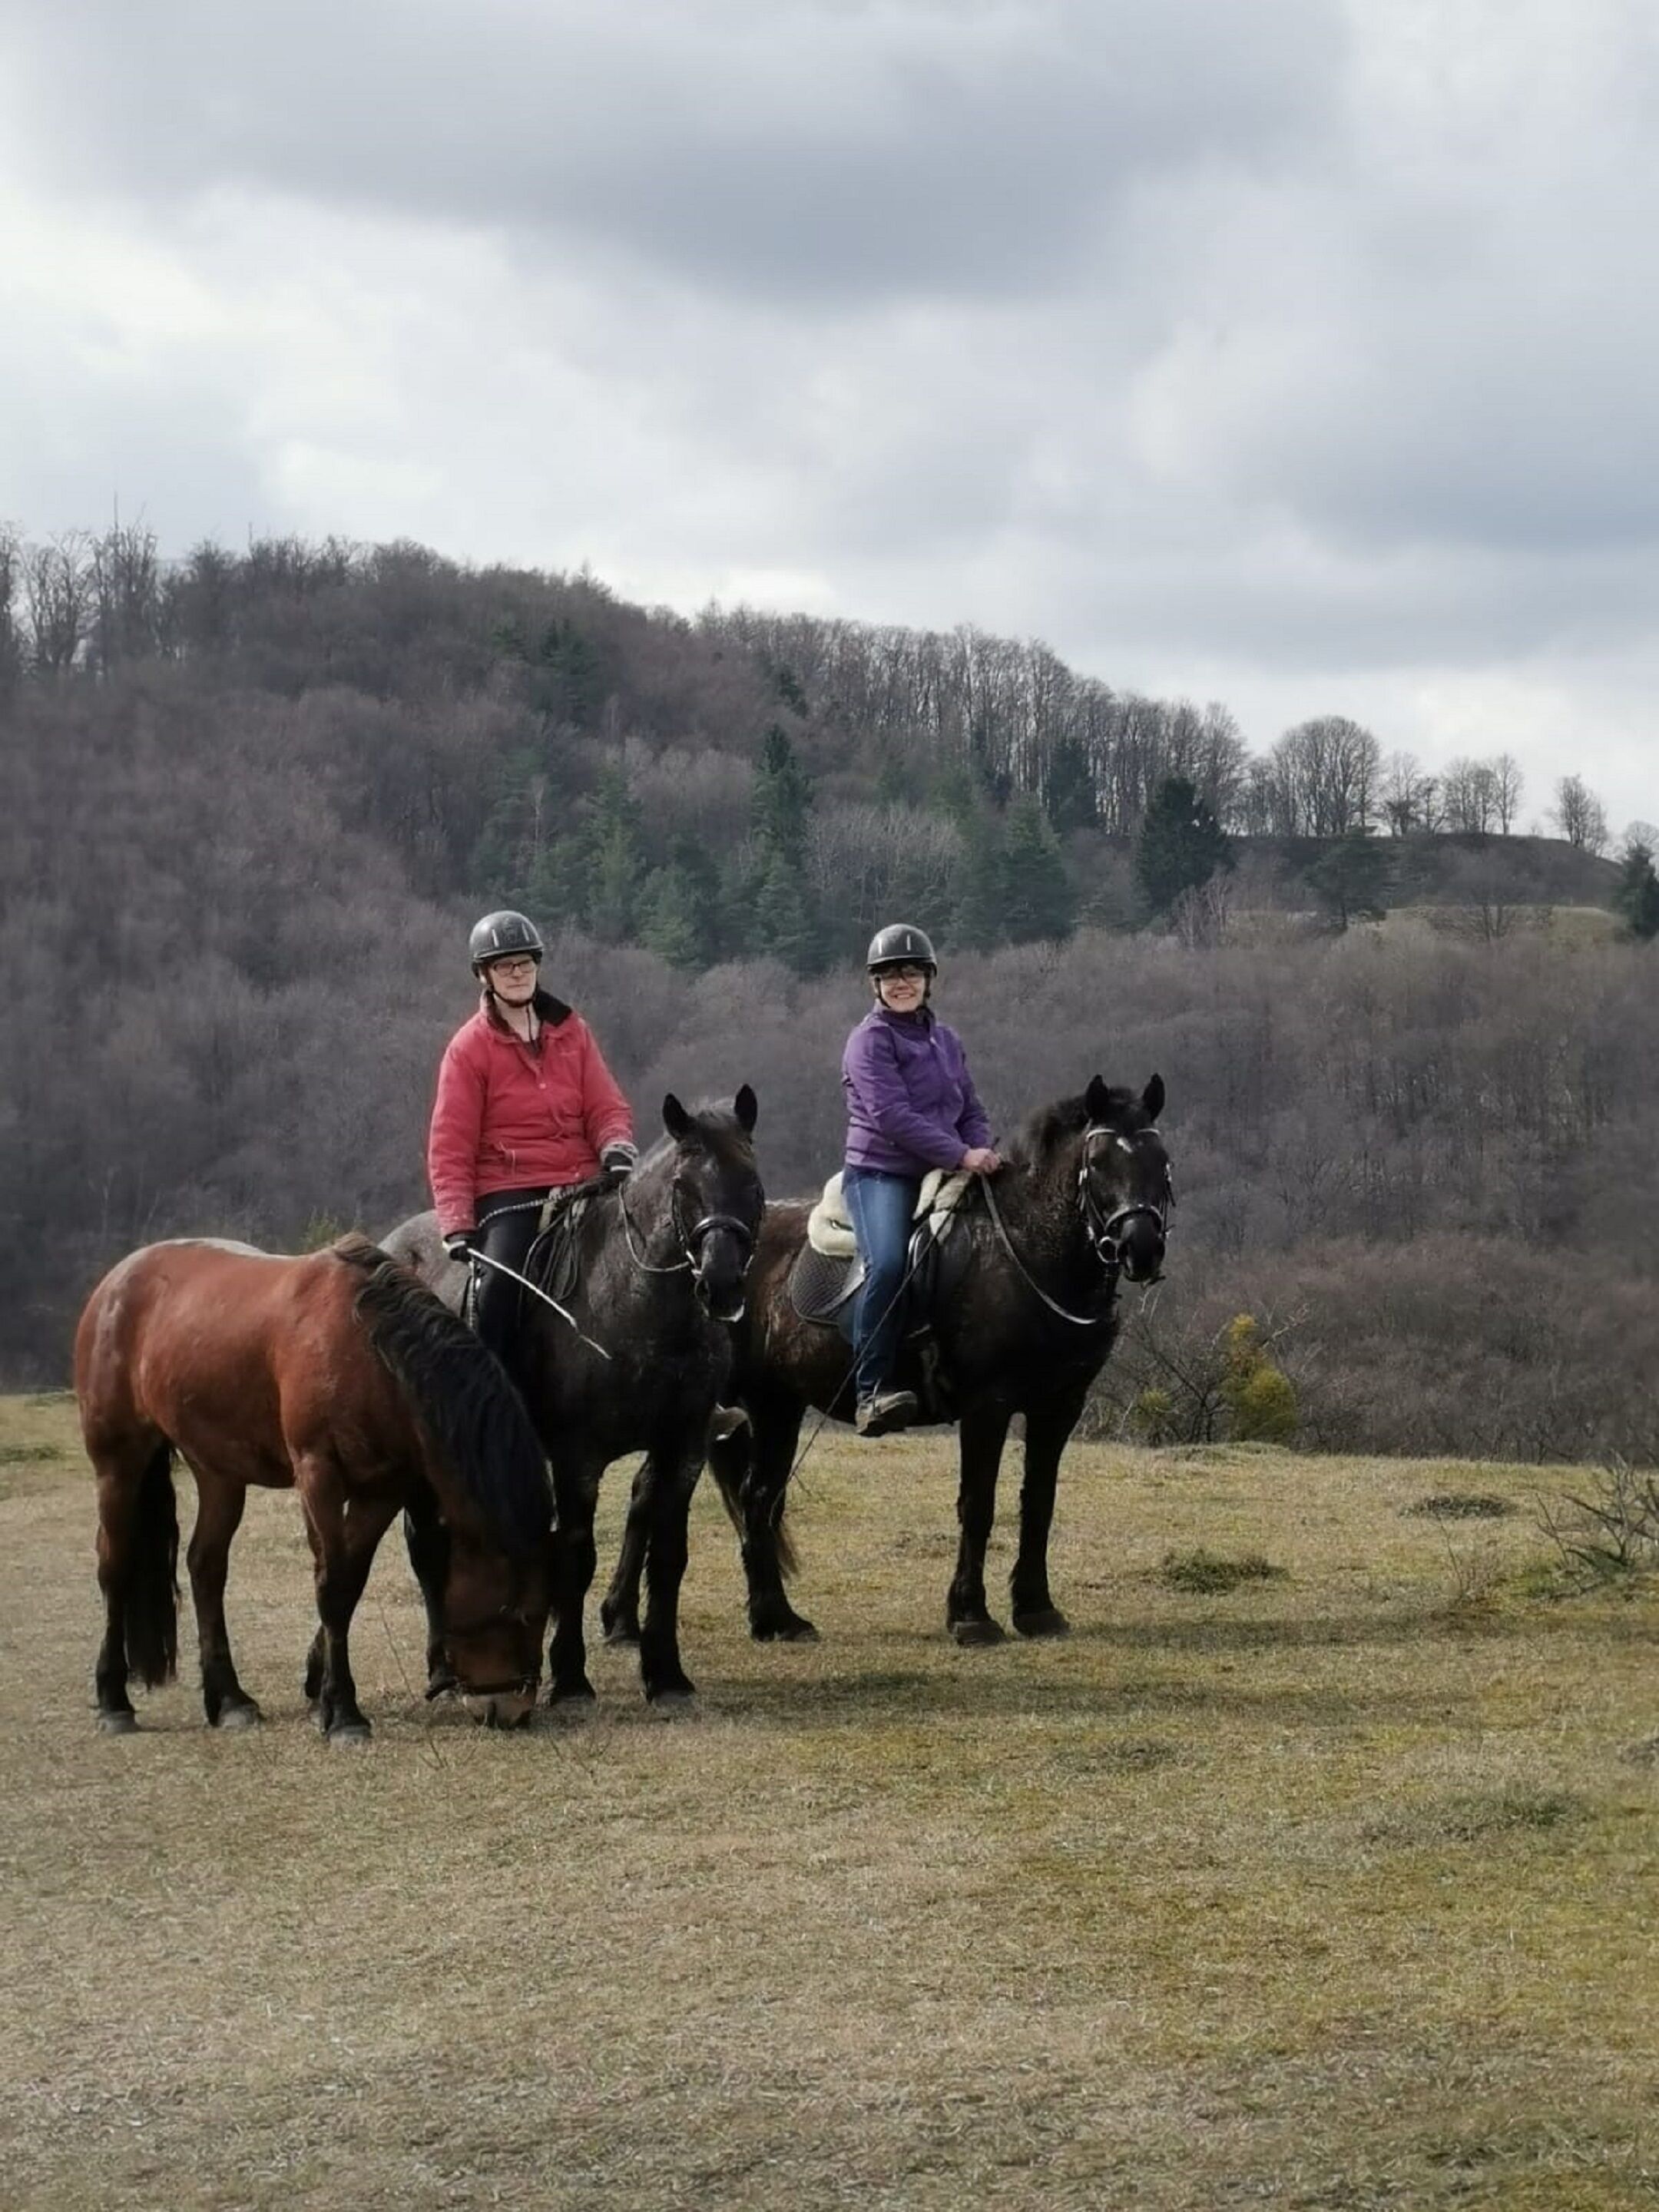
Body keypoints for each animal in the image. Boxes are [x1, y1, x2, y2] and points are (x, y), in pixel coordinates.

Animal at [75, 1234, 554, 1741]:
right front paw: (343, 1713)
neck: (369, 1349)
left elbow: (350, 1583)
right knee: (115, 1566)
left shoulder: (381, 1491)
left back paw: (230, 1699)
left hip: (218, 1473)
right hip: (118, 1464)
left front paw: (324, 1694)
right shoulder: (318, 1474)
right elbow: (332, 1586)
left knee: (206, 1567)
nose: (513, 1710)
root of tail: (118, 1280)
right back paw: (114, 1701)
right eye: (523, 1612)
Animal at [383, 1087, 763, 1707]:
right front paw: (569, 1678)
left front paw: (666, 1675)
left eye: (752, 1183)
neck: (634, 1303)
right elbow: (577, 1554)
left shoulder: (681, 1450)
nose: (722, 1283)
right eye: (684, 1186)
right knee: (426, 1544)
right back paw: (442, 1671)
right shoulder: (577, 1458)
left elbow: (669, 1555)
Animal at [600, 1075, 1170, 1649]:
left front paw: (1036, 1609)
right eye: (1098, 1161)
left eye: (1160, 1159)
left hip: (774, 1405)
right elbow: (978, 1505)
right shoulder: (988, 1406)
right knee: (654, 1491)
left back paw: (774, 1618)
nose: (1140, 1247)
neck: (1022, 1252)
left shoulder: (1059, 1408)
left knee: (756, 1497)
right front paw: (971, 1615)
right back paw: (625, 1620)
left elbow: (1039, 1503)